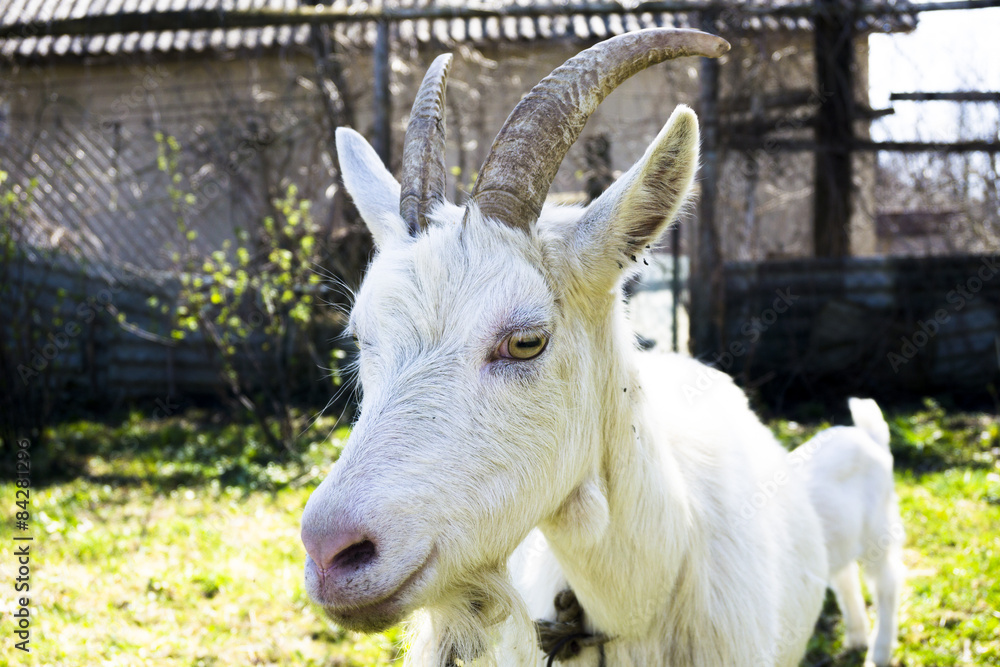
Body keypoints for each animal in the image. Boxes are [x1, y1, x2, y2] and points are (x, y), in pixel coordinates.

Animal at [796, 398, 904, 667]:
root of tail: (869, 435)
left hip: (877, 530)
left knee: (886, 582)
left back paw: (878, 653)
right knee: (846, 577)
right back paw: (856, 638)